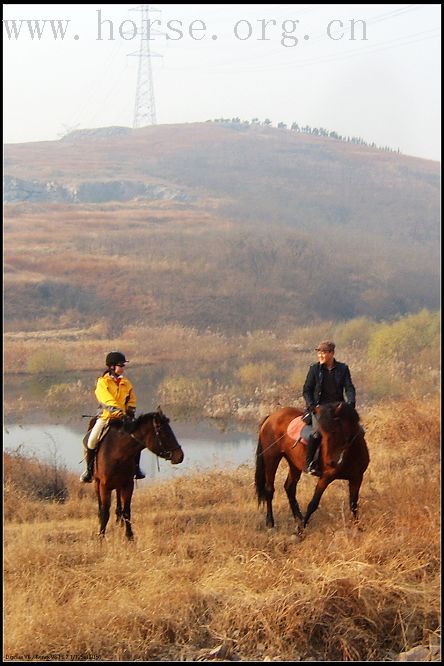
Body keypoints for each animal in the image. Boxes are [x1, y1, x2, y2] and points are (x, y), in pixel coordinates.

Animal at [93, 404, 184, 540]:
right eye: (165, 433)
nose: (180, 456)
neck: (117, 453)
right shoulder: (104, 486)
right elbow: (105, 512)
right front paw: (101, 537)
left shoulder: (128, 484)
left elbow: (127, 511)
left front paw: (130, 536)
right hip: (96, 482)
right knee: (100, 505)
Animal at [255, 402, 370, 532]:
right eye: (321, 434)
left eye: (335, 431)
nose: (331, 462)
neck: (349, 453)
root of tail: (271, 417)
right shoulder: (326, 477)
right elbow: (313, 503)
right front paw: (301, 531)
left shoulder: (357, 477)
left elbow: (353, 503)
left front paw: (358, 527)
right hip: (272, 458)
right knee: (269, 489)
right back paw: (270, 522)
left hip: (294, 462)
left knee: (289, 488)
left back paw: (298, 518)